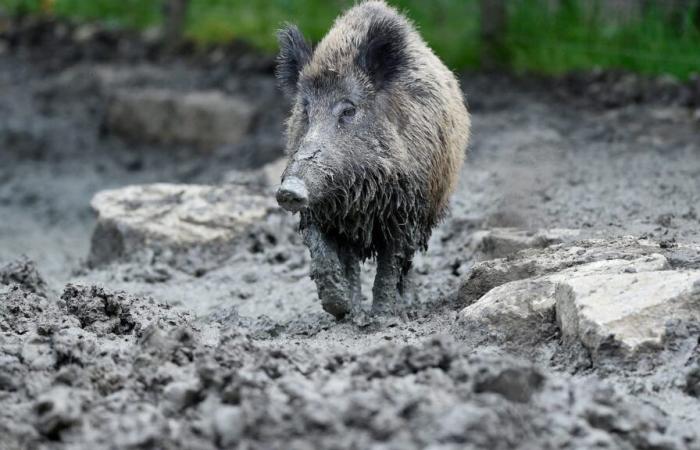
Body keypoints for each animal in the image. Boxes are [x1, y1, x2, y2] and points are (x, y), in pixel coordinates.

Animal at [274, 0, 470, 318]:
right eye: (305, 108)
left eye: (348, 110)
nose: (289, 191)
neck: (357, 195)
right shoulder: (318, 210)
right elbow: (324, 254)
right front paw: (341, 309)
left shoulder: (408, 209)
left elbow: (390, 265)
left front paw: (381, 315)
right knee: (353, 263)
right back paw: (354, 311)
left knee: (406, 264)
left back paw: (404, 306)